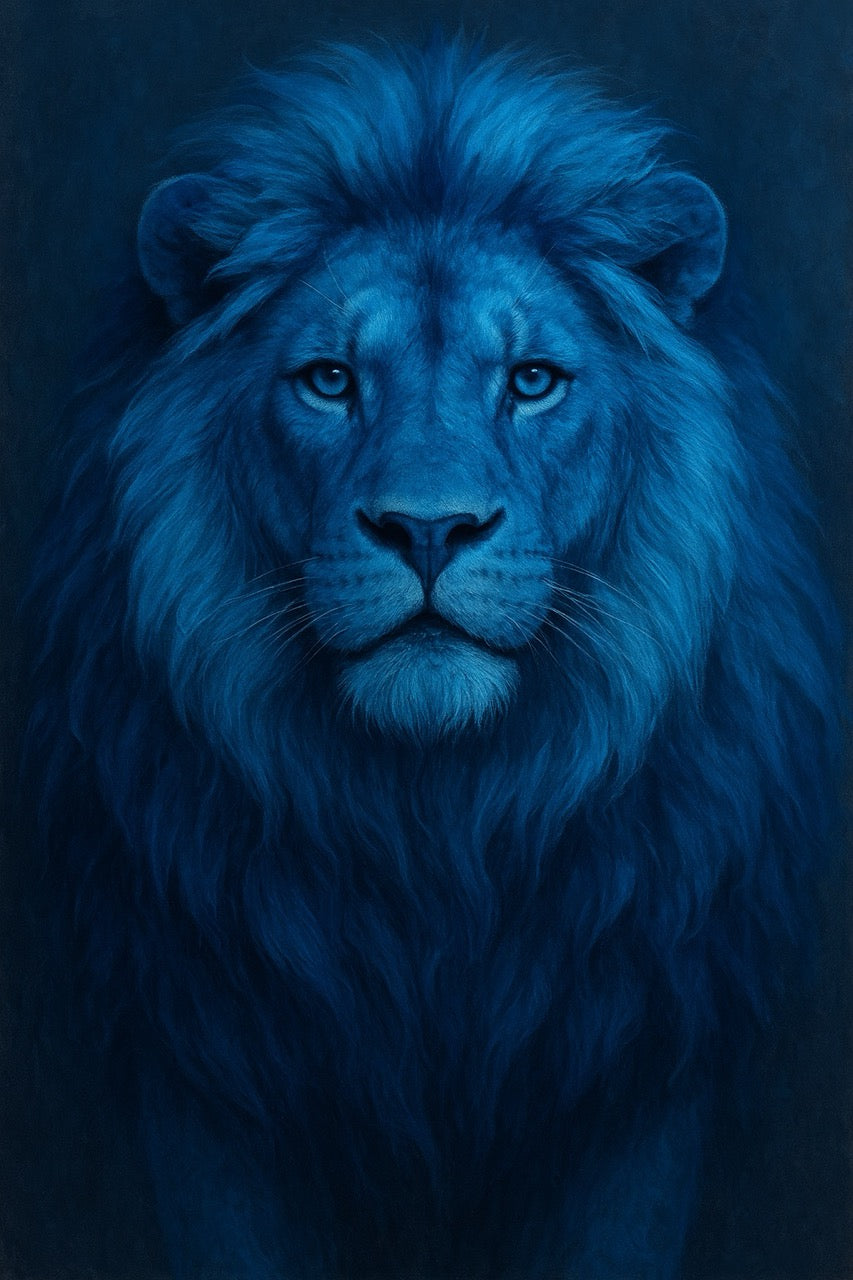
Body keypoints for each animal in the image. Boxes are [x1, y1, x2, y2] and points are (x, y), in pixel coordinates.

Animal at [23, 38, 840, 1280]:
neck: (435, 829)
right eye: (328, 379)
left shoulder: (636, 1078)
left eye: (532, 379)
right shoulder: (209, 1076)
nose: (427, 528)